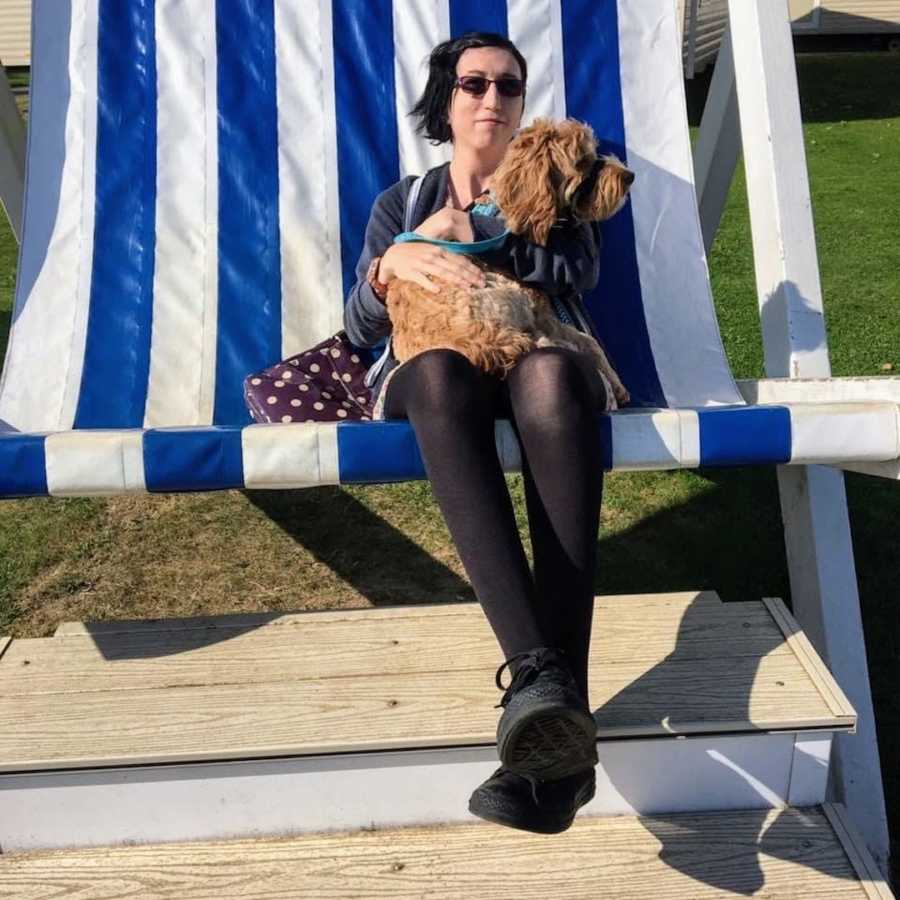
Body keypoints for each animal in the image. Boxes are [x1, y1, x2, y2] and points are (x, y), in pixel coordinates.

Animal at [384, 116, 632, 408]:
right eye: (582, 160)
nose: (629, 176)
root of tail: (474, 343)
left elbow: (588, 340)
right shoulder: (541, 314)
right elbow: (587, 340)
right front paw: (615, 382)